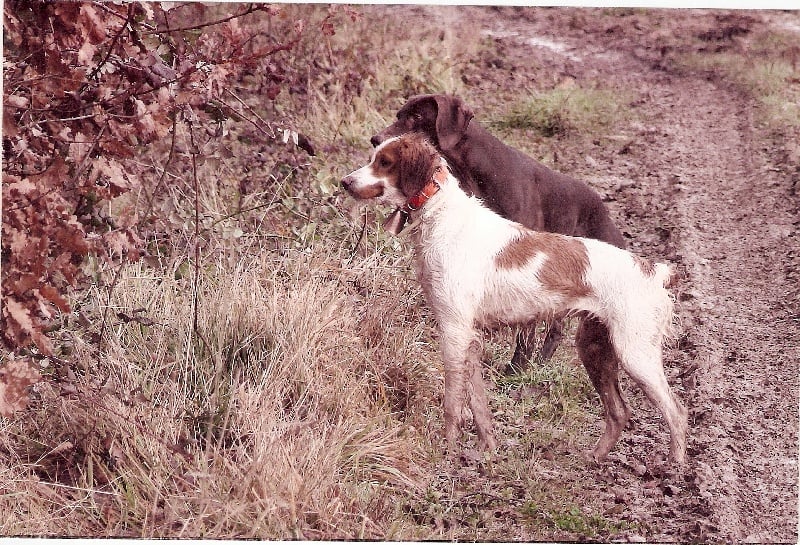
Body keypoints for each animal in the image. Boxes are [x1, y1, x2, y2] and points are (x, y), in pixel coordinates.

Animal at [342, 133, 688, 464]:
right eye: (373, 158)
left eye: (385, 162)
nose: (345, 181)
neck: (443, 218)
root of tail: (653, 271)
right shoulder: (470, 338)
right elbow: (478, 405)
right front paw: (488, 450)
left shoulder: (453, 330)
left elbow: (452, 401)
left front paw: (446, 451)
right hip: (594, 349)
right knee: (619, 411)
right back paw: (595, 458)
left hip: (635, 354)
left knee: (676, 412)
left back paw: (674, 468)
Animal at [372, 93, 636, 460]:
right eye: (399, 114)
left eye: (415, 118)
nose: (376, 139)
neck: (478, 173)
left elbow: (523, 336)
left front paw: (515, 374)